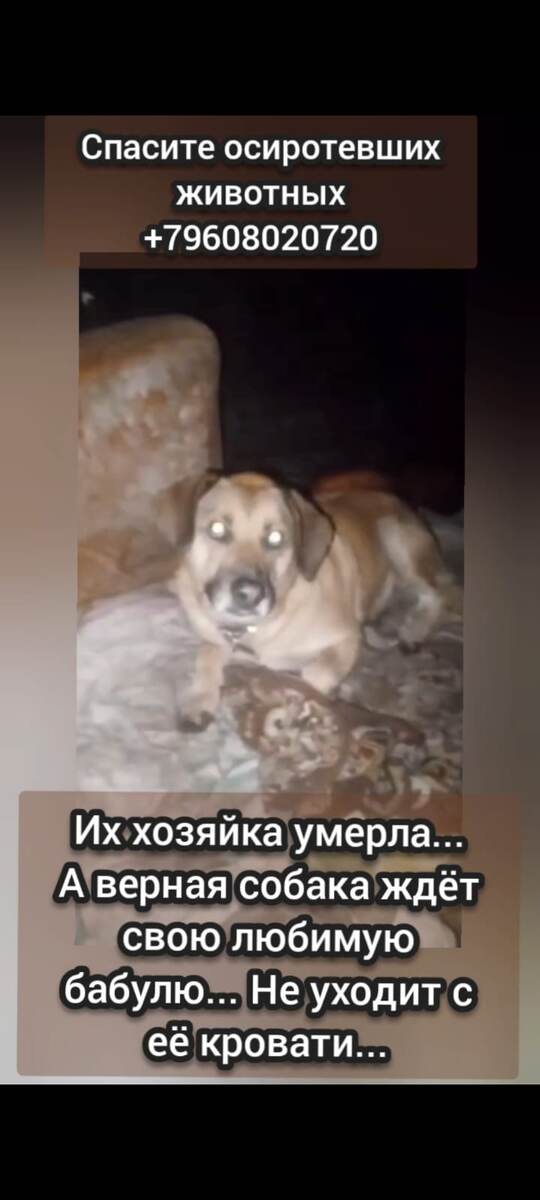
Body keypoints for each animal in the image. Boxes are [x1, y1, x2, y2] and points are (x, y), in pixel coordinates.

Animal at [164, 470, 462, 731]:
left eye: (276, 538)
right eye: (217, 529)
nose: (250, 593)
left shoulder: (346, 637)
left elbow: (315, 674)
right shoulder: (215, 639)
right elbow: (206, 656)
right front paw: (199, 699)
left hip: (394, 537)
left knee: (441, 593)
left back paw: (414, 630)